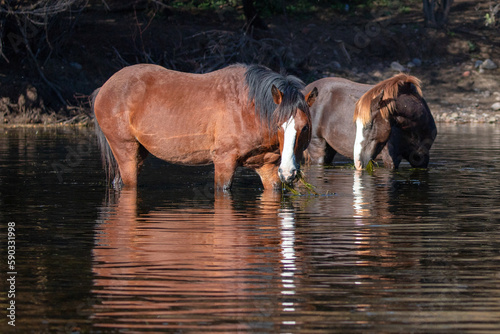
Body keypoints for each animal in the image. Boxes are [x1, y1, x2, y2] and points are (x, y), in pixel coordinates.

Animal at [92, 64, 318, 190]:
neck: (250, 108)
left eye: (305, 127)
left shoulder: (267, 167)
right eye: (278, 125)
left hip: (139, 153)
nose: (289, 172)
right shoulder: (224, 161)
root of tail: (104, 88)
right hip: (125, 149)